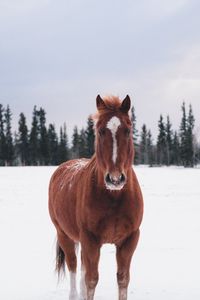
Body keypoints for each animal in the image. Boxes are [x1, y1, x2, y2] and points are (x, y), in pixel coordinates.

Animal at [48, 95, 144, 298]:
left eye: (128, 130)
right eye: (100, 131)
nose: (115, 178)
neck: (114, 197)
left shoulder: (129, 240)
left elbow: (122, 280)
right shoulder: (90, 240)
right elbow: (91, 280)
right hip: (64, 234)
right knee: (73, 266)